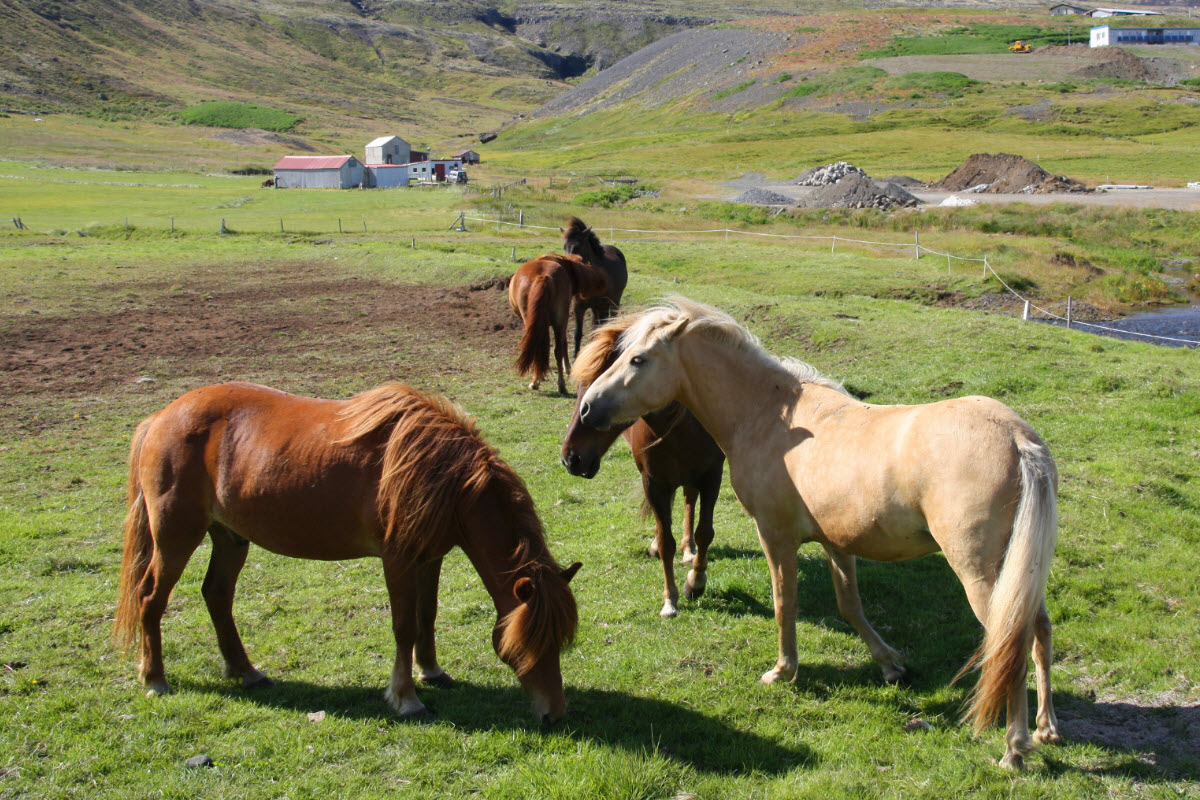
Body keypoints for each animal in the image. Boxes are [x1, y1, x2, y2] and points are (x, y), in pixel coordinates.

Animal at [113, 381, 580, 724]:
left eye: (560, 641)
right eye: (528, 642)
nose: (554, 714)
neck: (446, 477)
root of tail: (160, 418)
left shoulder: (431, 556)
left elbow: (427, 617)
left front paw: (432, 671)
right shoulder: (398, 559)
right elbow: (404, 627)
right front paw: (406, 697)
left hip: (229, 537)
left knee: (217, 596)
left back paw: (246, 672)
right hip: (175, 537)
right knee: (151, 598)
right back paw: (155, 678)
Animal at [511, 253, 614, 393]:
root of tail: (543, 276)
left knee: (549, 347)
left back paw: (544, 382)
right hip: (558, 321)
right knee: (557, 349)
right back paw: (560, 385)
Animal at [559, 219, 628, 357]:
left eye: (578, 246)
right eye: (564, 246)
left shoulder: (603, 305)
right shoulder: (579, 307)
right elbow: (578, 333)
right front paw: (575, 357)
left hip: (613, 303)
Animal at [559, 319, 720, 618]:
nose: (570, 458)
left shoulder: (712, 474)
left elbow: (705, 532)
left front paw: (695, 581)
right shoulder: (654, 482)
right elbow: (665, 539)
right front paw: (670, 599)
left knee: (689, 499)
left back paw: (689, 549)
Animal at [580, 298, 1060, 767]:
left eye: (638, 359)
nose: (587, 407)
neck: (768, 416)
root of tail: (1018, 440)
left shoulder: (776, 537)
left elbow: (784, 603)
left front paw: (784, 670)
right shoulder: (837, 542)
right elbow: (851, 607)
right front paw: (890, 666)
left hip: (980, 574)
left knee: (1009, 641)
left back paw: (1015, 747)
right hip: (1018, 573)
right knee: (1039, 630)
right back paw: (1044, 727)